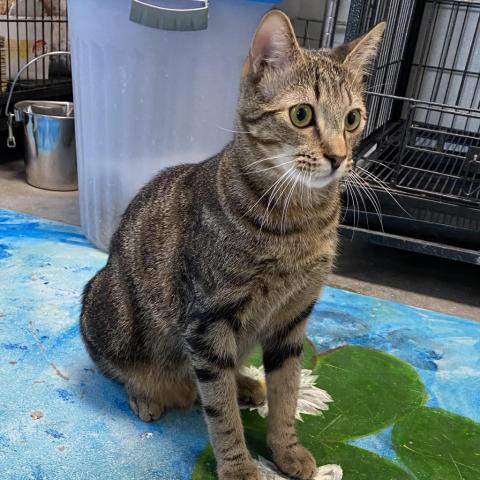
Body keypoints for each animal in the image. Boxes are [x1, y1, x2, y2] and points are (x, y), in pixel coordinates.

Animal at [80, 11, 384, 480]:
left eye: (352, 119)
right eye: (301, 114)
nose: (338, 157)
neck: (302, 220)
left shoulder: (293, 319)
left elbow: (287, 393)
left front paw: (286, 450)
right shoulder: (208, 323)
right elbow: (220, 413)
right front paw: (239, 466)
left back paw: (245, 382)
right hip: (110, 311)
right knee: (125, 370)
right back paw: (148, 393)